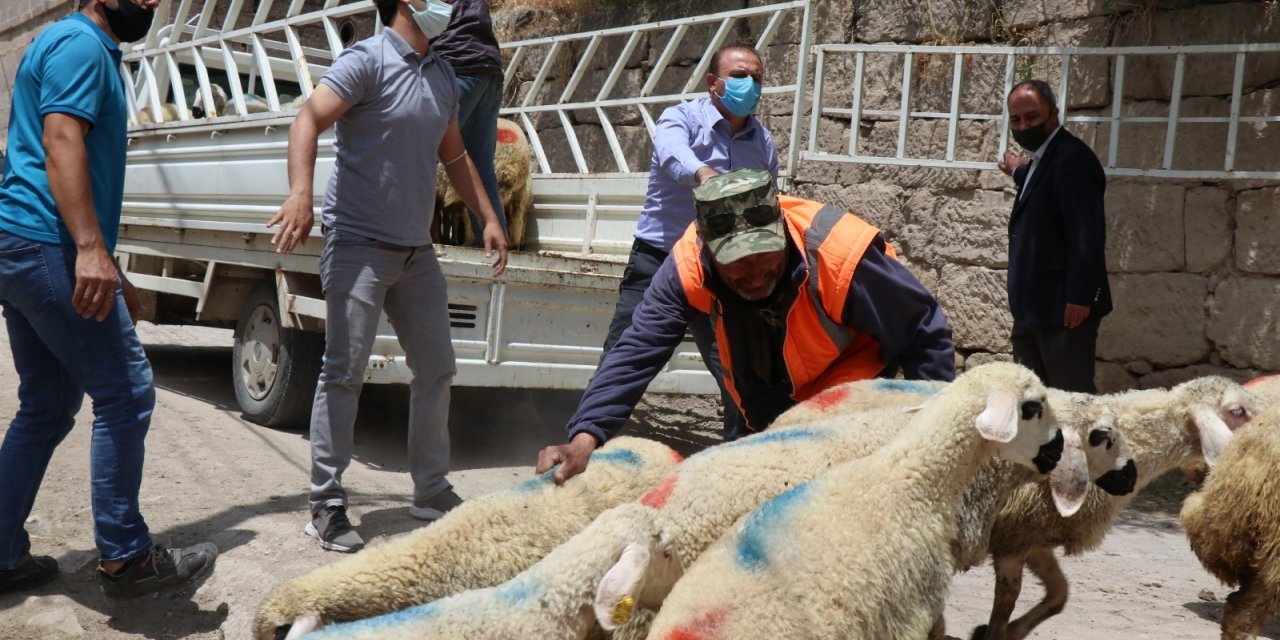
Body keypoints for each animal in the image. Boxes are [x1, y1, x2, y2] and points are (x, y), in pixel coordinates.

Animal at [967, 373, 1259, 640]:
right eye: (1237, 411)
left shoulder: (1033, 535)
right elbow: (1008, 598)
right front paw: (995, 632)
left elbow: (1059, 593)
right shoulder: (1014, 536)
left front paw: (1010, 630)